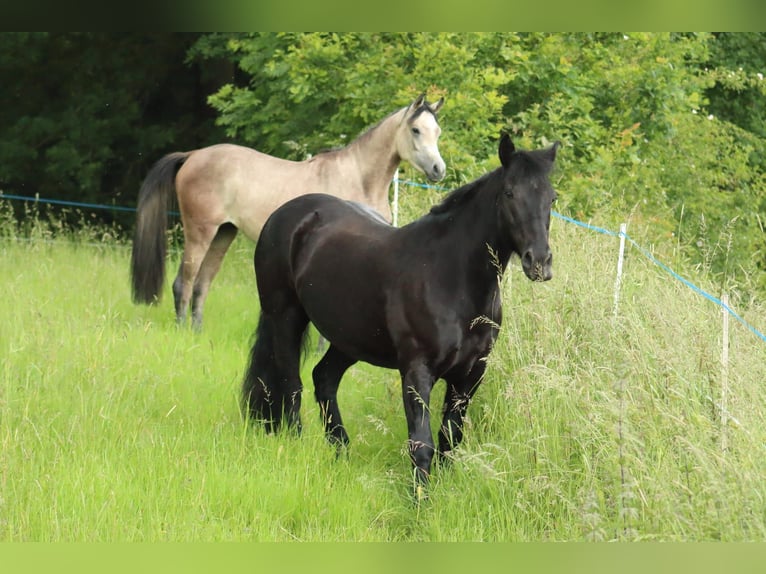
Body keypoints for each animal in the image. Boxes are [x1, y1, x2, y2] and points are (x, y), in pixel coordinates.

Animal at [130, 94, 448, 328]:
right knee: (183, 283)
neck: (358, 178)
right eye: (416, 130)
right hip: (200, 233)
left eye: (437, 132)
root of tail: (193, 155)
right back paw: (182, 332)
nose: (438, 170)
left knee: (201, 285)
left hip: (223, 233)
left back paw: (197, 332)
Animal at [246, 135, 564, 490]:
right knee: (291, 386)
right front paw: (419, 499)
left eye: (551, 197)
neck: (450, 277)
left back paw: (341, 451)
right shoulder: (416, 370)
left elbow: (450, 438)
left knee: (323, 379)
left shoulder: (471, 374)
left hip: (349, 339)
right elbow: (421, 444)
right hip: (285, 316)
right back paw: (296, 445)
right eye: (510, 193)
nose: (539, 261)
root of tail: (286, 215)